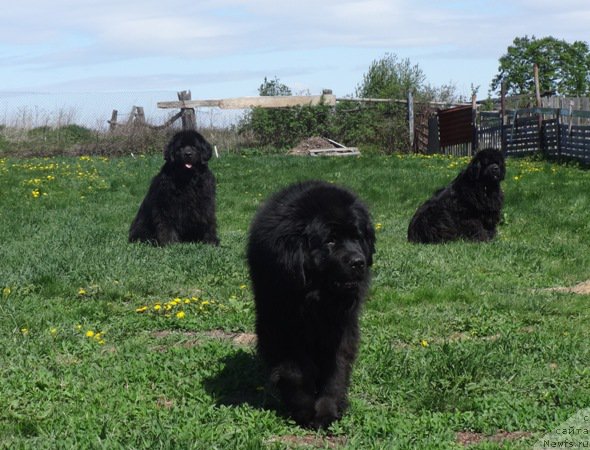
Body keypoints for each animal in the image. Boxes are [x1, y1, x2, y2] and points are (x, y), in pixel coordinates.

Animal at [247, 179, 376, 428]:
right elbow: (295, 370)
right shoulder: (282, 327)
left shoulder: (340, 329)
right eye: (330, 241)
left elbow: (336, 369)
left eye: (357, 237)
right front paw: (304, 410)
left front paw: (328, 410)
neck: (315, 299)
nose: (358, 262)